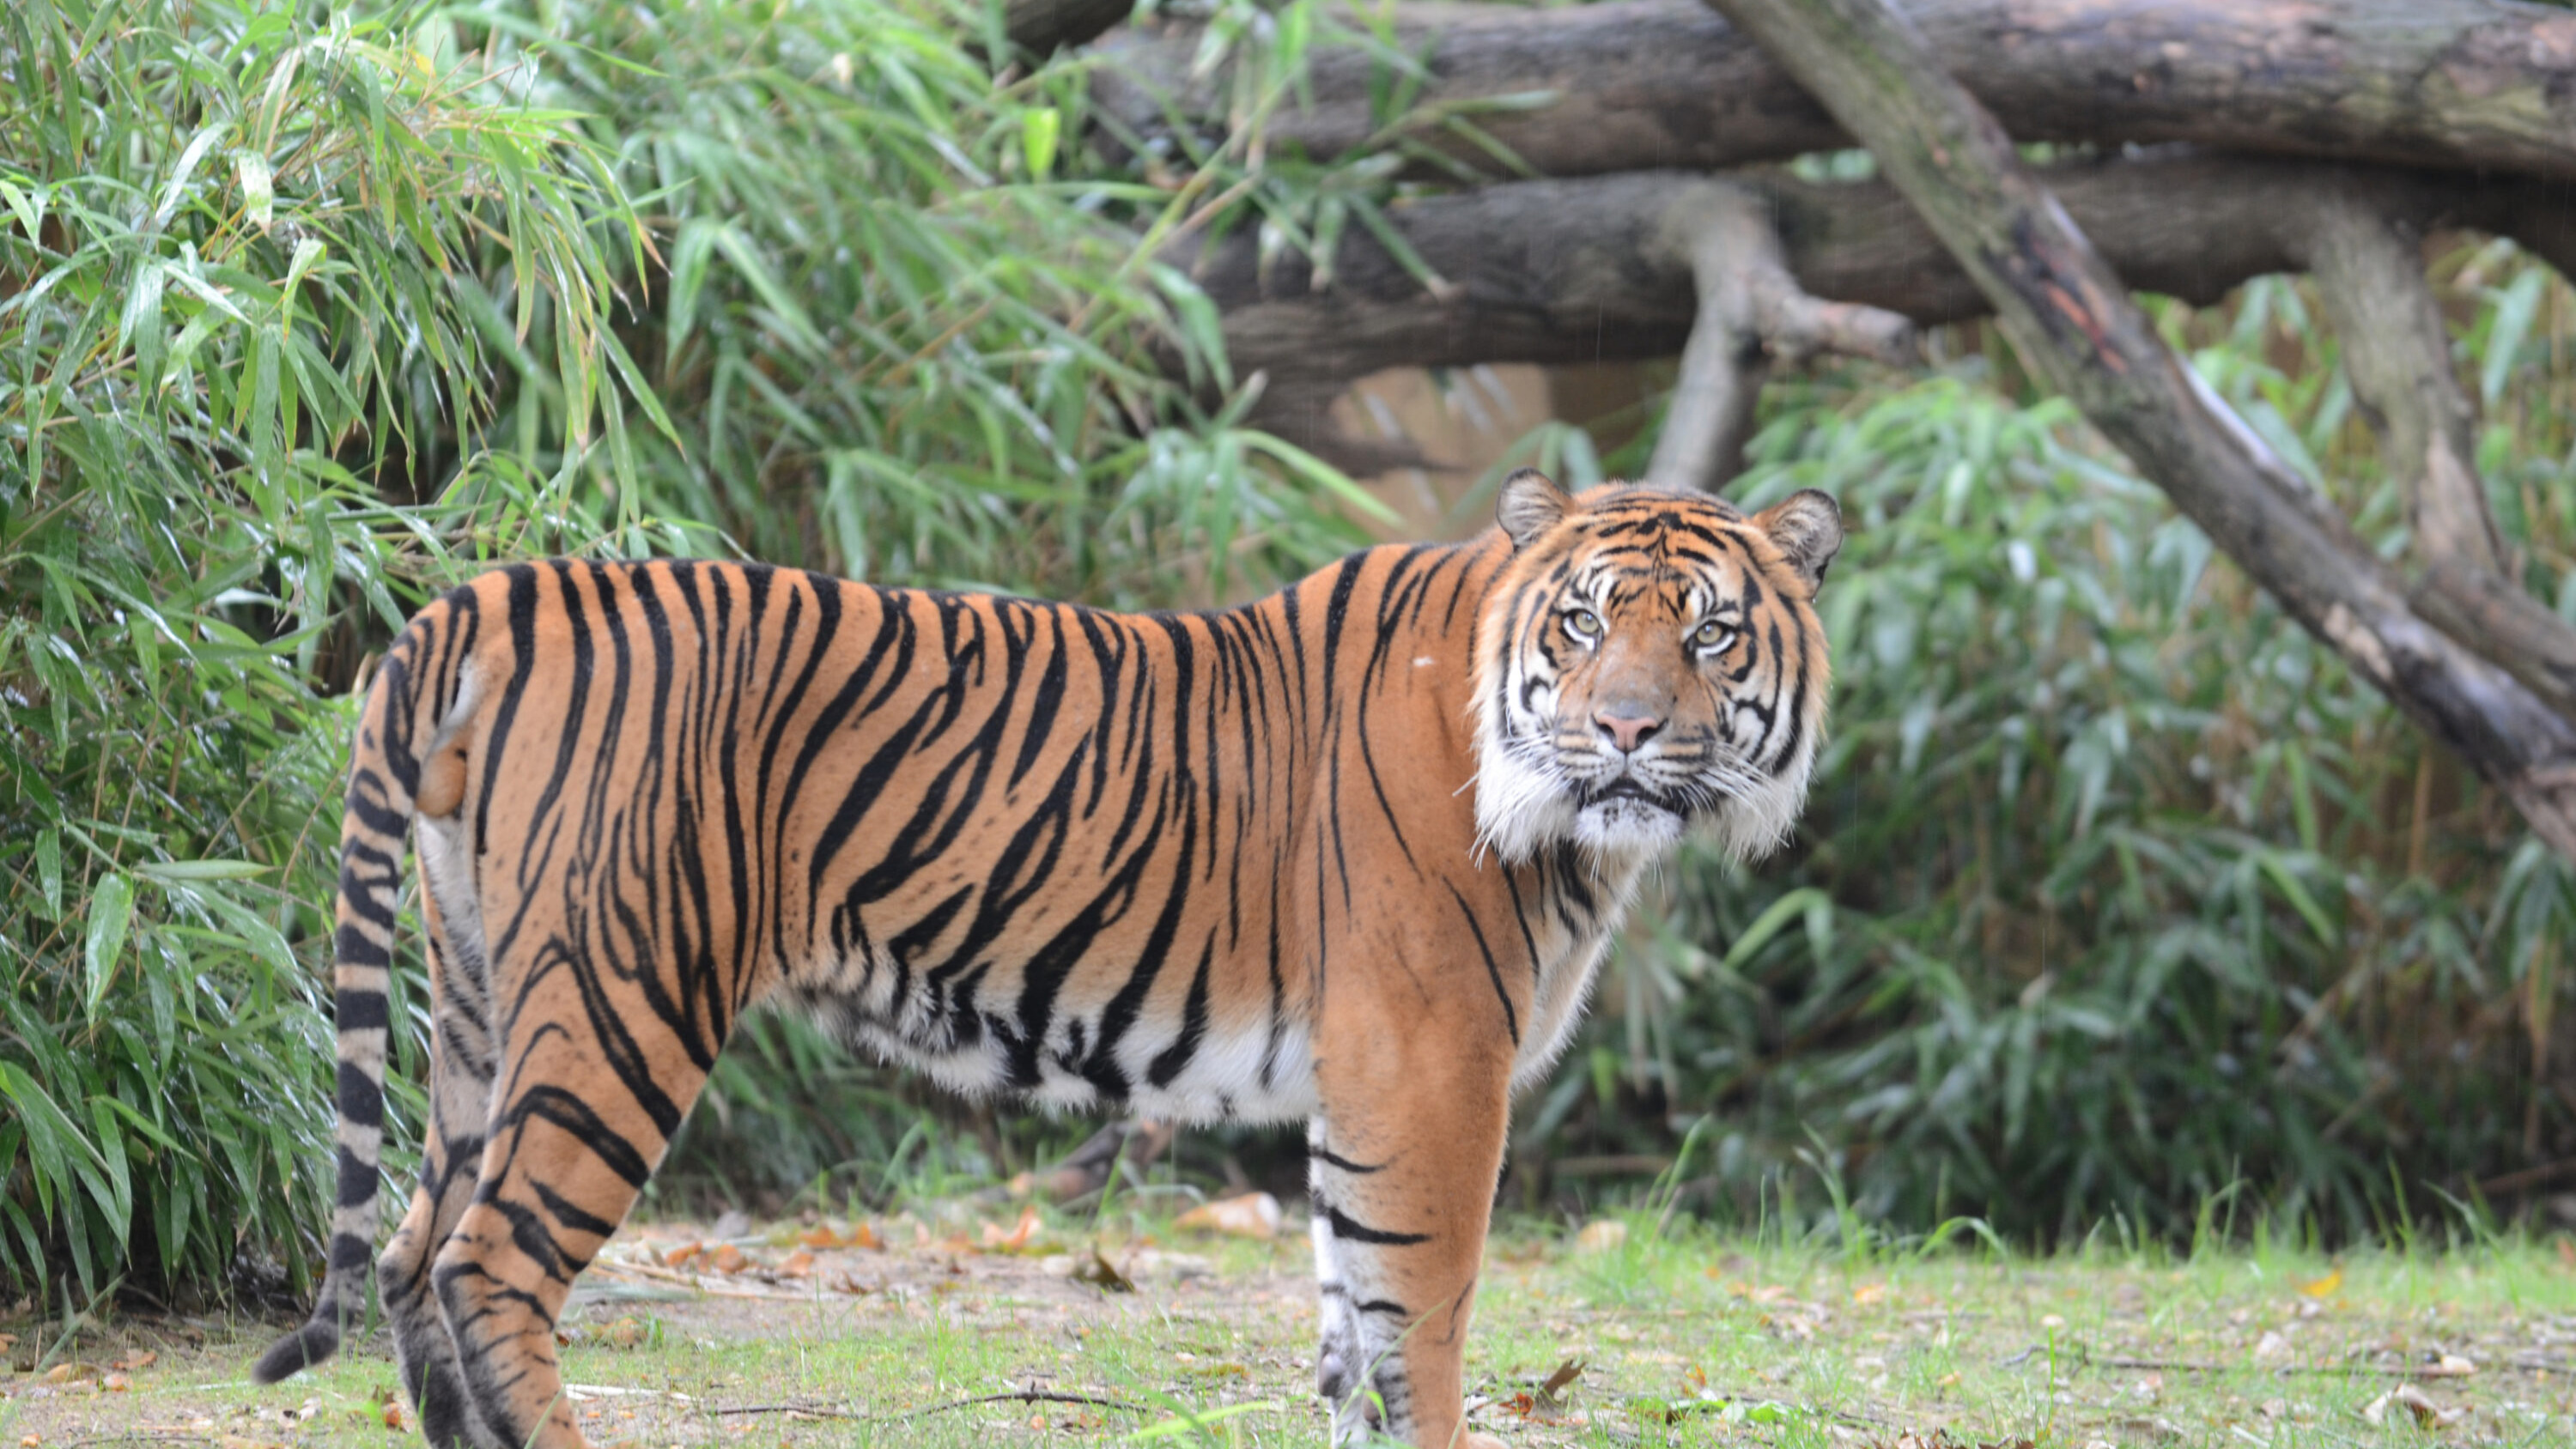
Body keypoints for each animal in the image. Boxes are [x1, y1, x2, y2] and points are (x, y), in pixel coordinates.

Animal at [252, 469, 1841, 1449]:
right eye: (1581, 622)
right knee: (488, 1259)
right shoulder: (1431, 1063)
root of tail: (496, 592)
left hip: (480, 1003)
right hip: (623, 998)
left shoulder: (1366, 1083)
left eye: (1710, 634)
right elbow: (1423, 1322)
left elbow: (1350, 1329)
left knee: (411, 1247)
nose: (1625, 729)